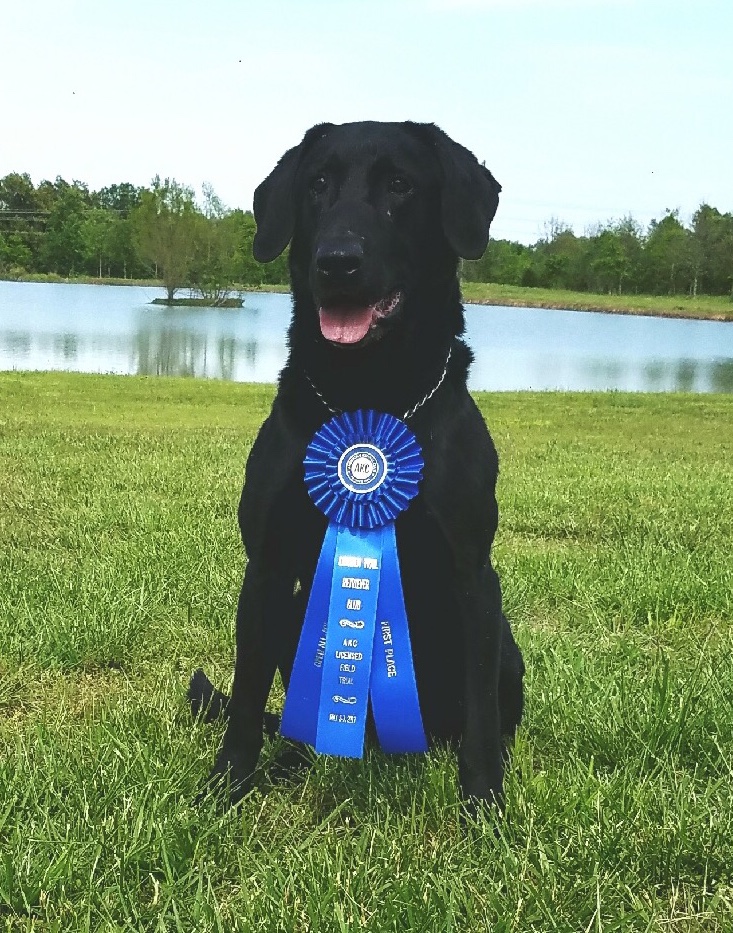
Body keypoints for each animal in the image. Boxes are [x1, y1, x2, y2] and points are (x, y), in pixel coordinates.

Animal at [189, 122, 520, 808]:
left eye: (400, 185)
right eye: (317, 184)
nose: (336, 261)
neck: (371, 393)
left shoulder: (472, 573)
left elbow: (481, 716)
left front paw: (483, 801)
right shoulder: (266, 568)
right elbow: (246, 698)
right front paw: (228, 783)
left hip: (507, 644)